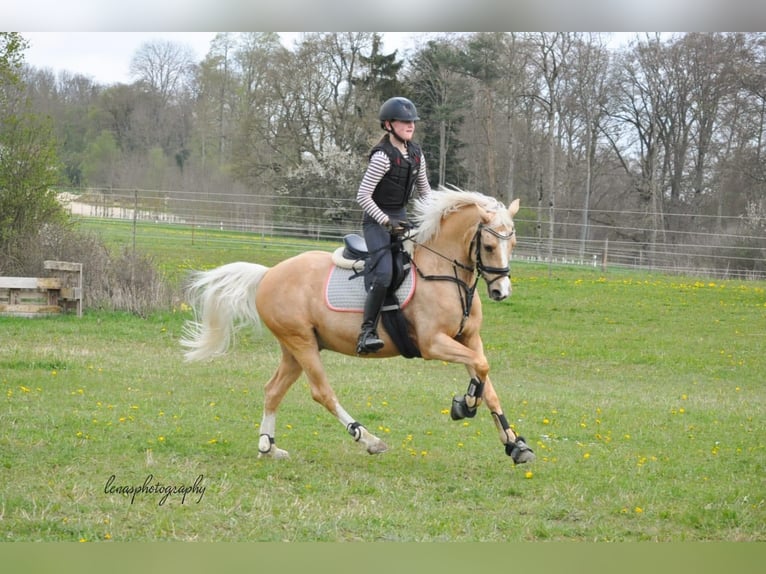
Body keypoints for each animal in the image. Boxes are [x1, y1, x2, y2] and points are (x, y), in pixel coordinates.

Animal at [183, 189, 536, 468]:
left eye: (513, 244)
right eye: (488, 246)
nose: (501, 292)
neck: (443, 272)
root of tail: (268, 274)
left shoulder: (469, 338)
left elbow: (487, 380)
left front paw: (514, 444)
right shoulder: (433, 343)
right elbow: (481, 369)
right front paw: (466, 405)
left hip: (295, 347)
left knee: (273, 390)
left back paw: (268, 448)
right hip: (302, 344)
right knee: (322, 392)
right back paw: (368, 439)